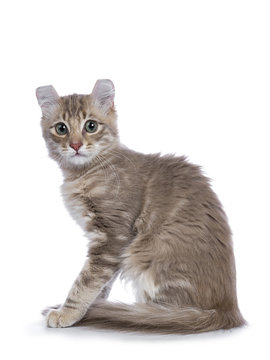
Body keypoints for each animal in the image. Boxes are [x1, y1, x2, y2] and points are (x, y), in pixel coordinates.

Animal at [37, 79, 246, 334]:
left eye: (91, 126)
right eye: (61, 129)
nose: (76, 145)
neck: (85, 172)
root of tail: (228, 311)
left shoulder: (112, 236)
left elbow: (86, 282)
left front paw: (68, 312)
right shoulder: (111, 245)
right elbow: (102, 283)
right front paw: (94, 305)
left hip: (150, 255)